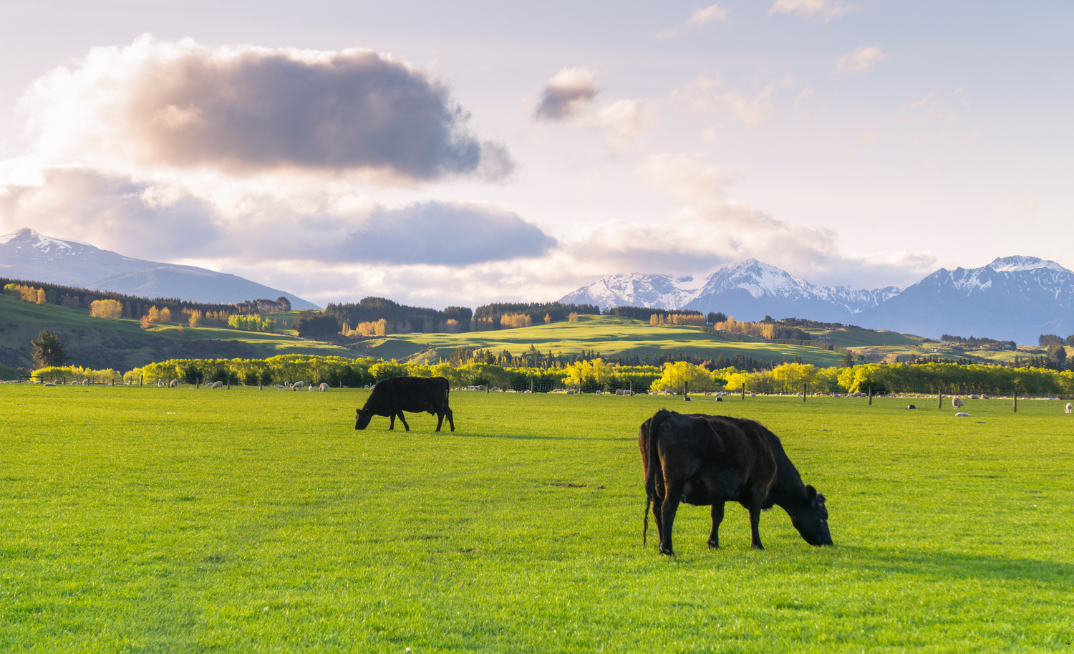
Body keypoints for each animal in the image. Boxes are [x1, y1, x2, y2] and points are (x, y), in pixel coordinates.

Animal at [639, 409, 831, 556]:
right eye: (823, 517)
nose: (830, 542)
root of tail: (666, 413)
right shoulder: (758, 489)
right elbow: (754, 517)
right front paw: (757, 544)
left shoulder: (718, 491)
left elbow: (717, 516)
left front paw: (713, 543)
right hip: (674, 483)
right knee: (668, 509)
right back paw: (668, 549)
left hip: (655, 484)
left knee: (656, 511)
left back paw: (661, 545)